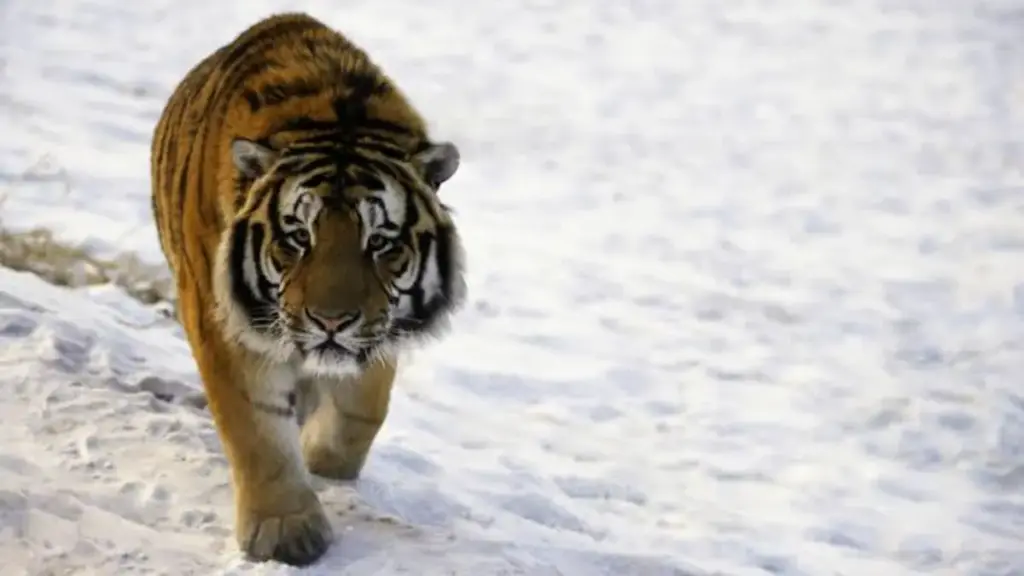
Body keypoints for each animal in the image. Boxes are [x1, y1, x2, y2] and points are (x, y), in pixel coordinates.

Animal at [149, 12, 466, 566]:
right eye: (299, 237)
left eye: (379, 242)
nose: (331, 320)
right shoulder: (226, 323)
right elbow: (256, 428)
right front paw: (286, 532)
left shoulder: (378, 329)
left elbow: (361, 411)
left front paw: (321, 462)